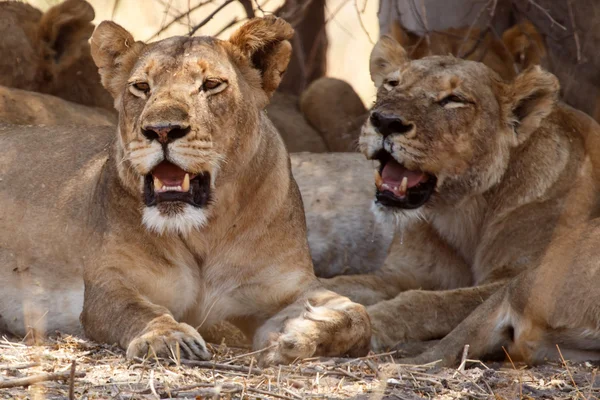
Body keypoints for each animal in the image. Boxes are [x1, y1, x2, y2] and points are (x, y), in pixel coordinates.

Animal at [0, 15, 370, 366]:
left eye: (211, 84)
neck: (204, 230)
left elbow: (359, 315)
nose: (162, 130)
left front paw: (298, 334)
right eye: (141, 87)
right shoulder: (110, 283)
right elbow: (138, 310)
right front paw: (166, 338)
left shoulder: (290, 283)